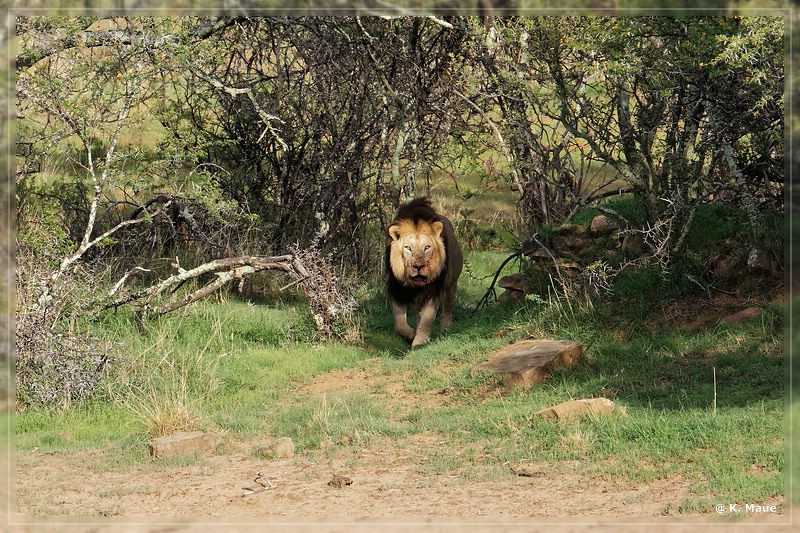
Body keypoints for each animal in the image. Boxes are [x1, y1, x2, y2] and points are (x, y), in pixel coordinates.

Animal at [386, 197, 462, 348]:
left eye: (427, 247)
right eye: (408, 248)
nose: (418, 266)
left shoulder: (433, 291)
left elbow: (427, 319)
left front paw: (419, 343)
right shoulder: (397, 291)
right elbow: (399, 324)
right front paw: (411, 335)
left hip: (451, 283)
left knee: (447, 308)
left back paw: (446, 330)